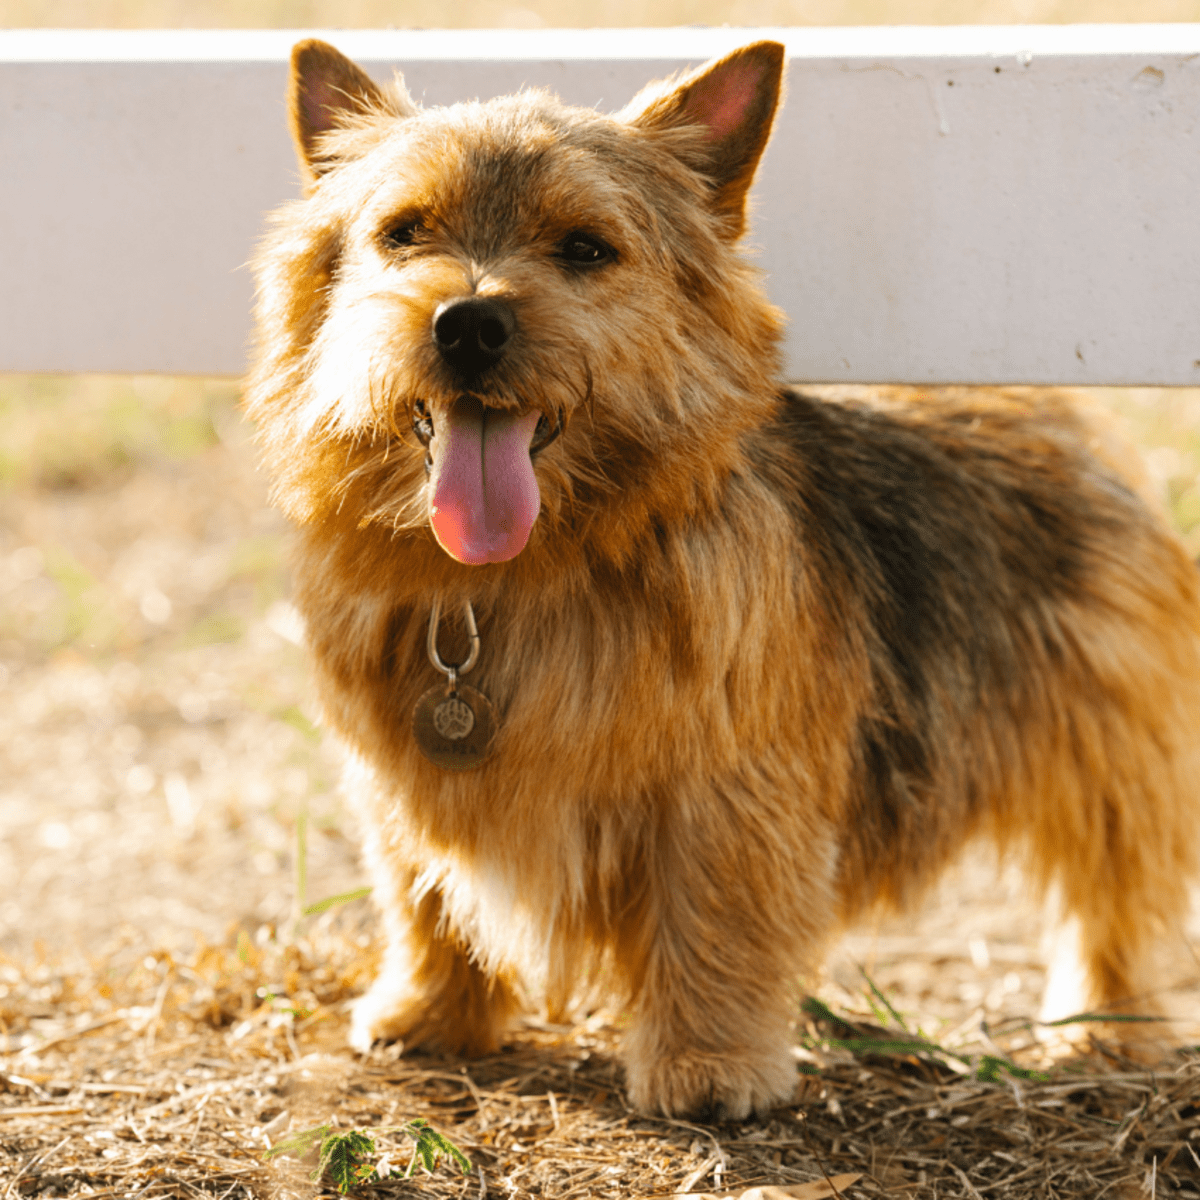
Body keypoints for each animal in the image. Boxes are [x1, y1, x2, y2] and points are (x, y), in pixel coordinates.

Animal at [243, 39, 1200, 1123]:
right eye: (402, 233)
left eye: (585, 248)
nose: (469, 322)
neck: (522, 575)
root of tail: (1046, 404)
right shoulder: (400, 775)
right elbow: (424, 895)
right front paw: (433, 1013)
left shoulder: (728, 782)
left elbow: (715, 911)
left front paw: (706, 1064)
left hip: (1104, 740)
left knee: (1114, 888)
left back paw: (1106, 1024)